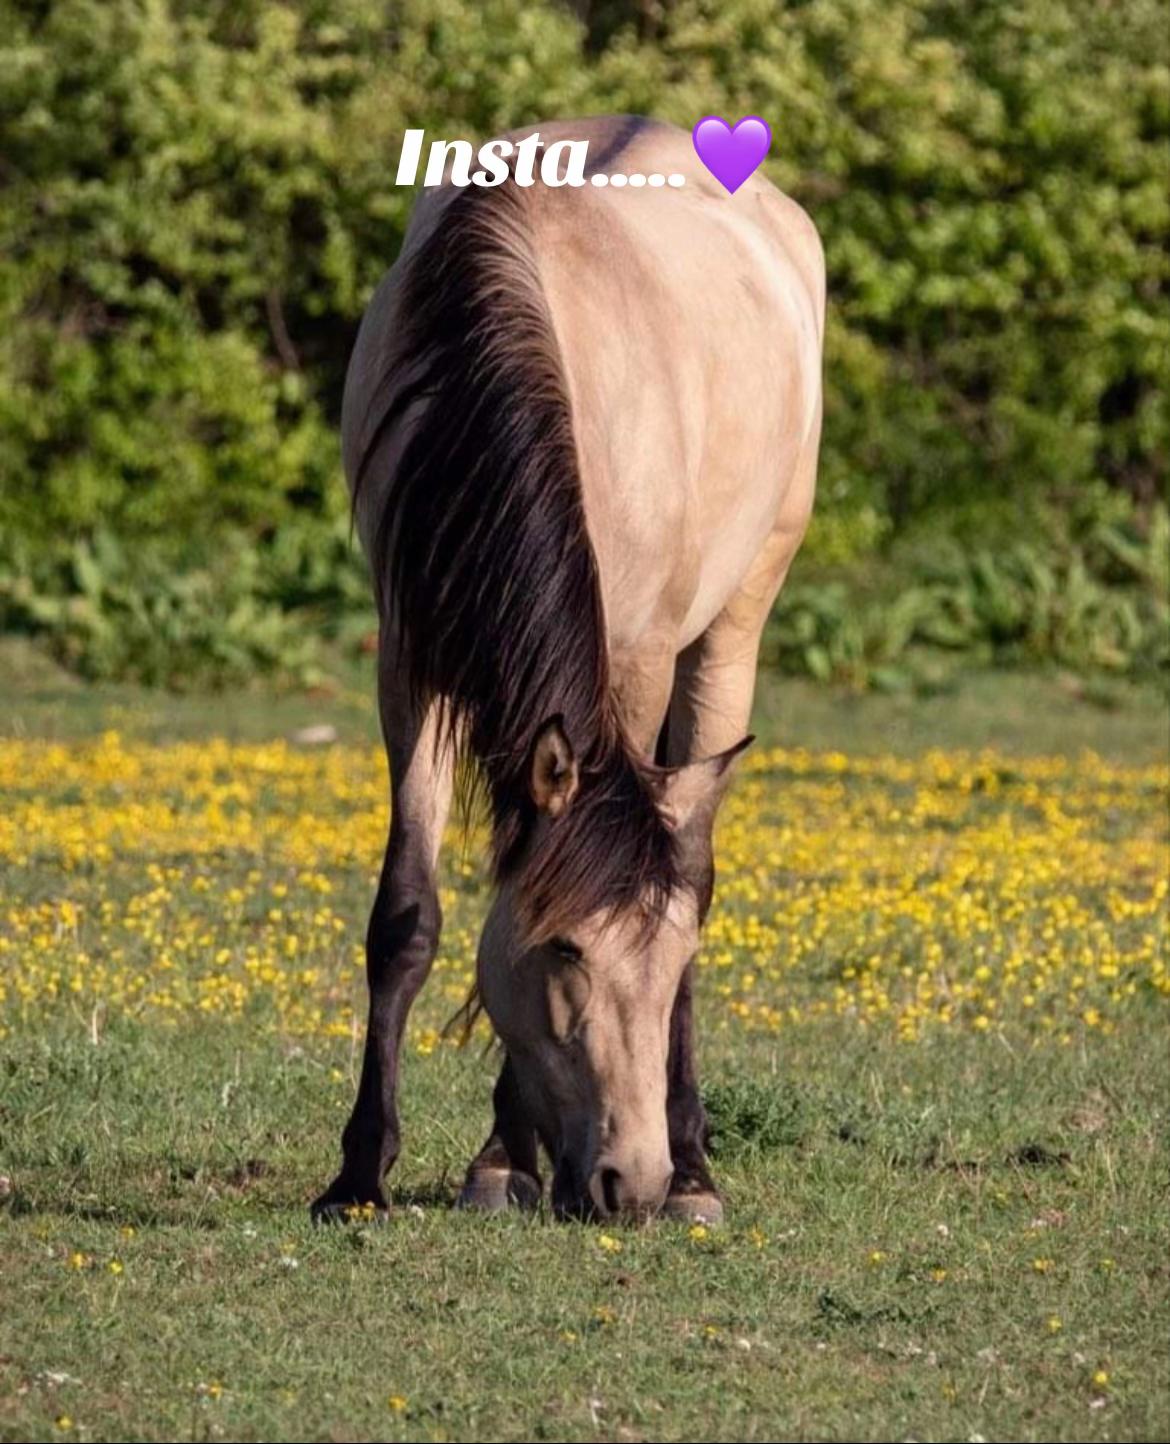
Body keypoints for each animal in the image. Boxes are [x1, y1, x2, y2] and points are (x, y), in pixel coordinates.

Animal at [312, 116, 824, 1224]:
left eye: (663, 959)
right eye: (563, 952)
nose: (629, 1184)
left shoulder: (632, 658)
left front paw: (506, 1158)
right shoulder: (410, 660)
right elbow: (408, 913)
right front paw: (361, 1173)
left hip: (736, 619)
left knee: (698, 851)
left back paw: (695, 1169)